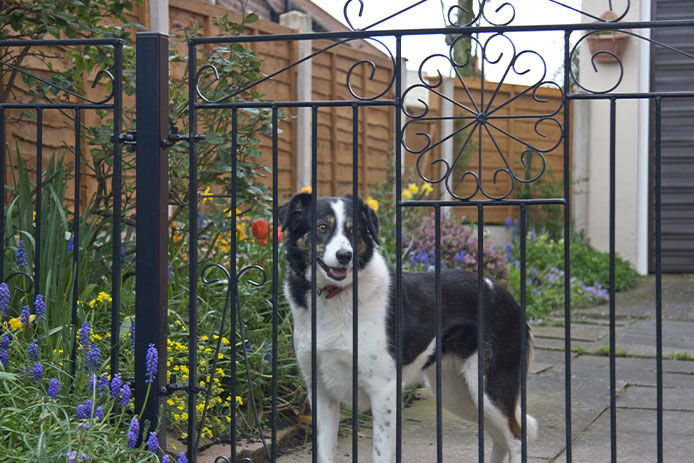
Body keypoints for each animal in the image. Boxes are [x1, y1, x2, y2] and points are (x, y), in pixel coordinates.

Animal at [280, 194, 540, 462]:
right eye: (322, 227)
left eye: (355, 231)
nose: (345, 256)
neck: (334, 296)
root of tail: (508, 297)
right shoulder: (320, 393)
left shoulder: (383, 391)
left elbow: (381, 453)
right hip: (458, 393)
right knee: (500, 437)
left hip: (489, 388)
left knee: (517, 438)